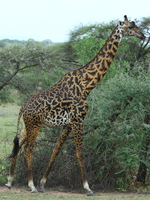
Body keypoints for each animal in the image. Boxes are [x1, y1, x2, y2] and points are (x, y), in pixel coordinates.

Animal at [5, 15, 145, 195]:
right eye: (130, 27)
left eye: (135, 25)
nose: (143, 35)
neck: (87, 85)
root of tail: (23, 107)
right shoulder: (79, 119)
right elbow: (80, 152)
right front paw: (87, 187)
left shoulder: (68, 123)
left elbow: (56, 150)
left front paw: (43, 183)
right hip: (35, 124)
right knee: (28, 148)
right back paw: (31, 185)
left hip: (27, 124)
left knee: (18, 144)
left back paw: (10, 181)